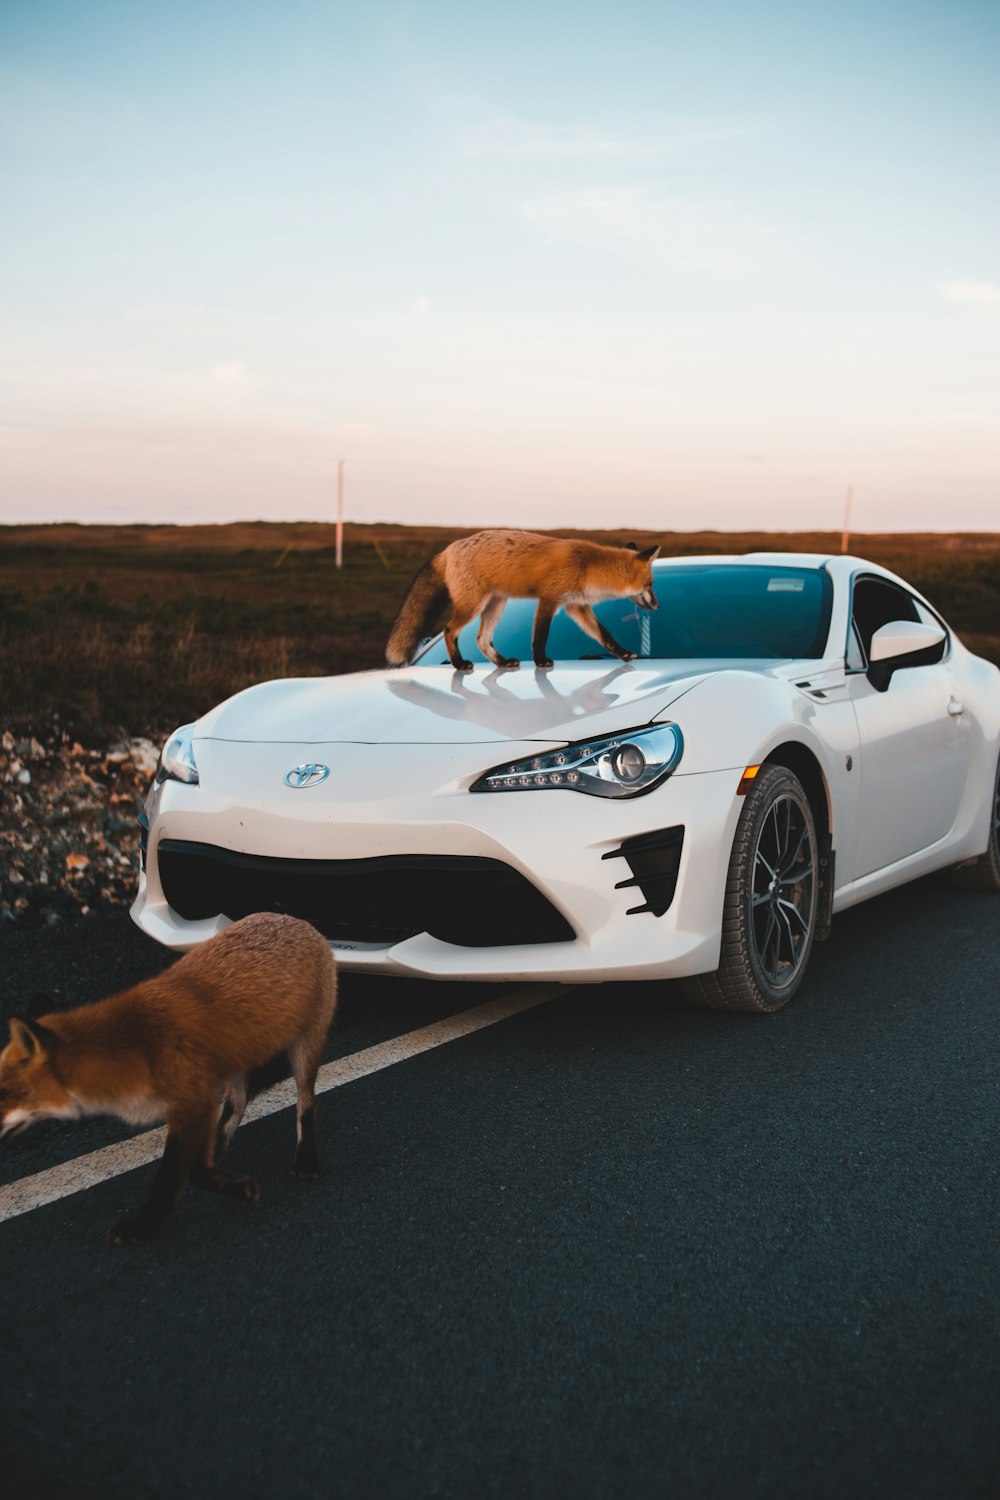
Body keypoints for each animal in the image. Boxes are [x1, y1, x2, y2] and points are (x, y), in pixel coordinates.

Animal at [0, 912, 338, 1242]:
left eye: (3, 1091)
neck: (133, 1048)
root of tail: (294, 919)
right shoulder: (198, 1102)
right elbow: (196, 1167)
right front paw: (230, 1183)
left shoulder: (193, 1105)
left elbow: (178, 1177)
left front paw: (141, 1227)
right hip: (232, 1062)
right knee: (239, 1102)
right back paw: (221, 1147)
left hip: (304, 1049)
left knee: (307, 1105)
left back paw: (306, 1161)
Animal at [386, 528, 659, 669]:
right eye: (650, 585)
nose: (657, 605)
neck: (588, 567)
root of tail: (449, 548)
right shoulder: (549, 599)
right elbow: (540, 635)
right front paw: (540, 661)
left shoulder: (576, 606)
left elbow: (604, 634)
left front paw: (623, 654)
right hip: (473, 605)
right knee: (449, 630)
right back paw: (459, 664)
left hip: (496, 604)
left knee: (482, 639)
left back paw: (502, 662)